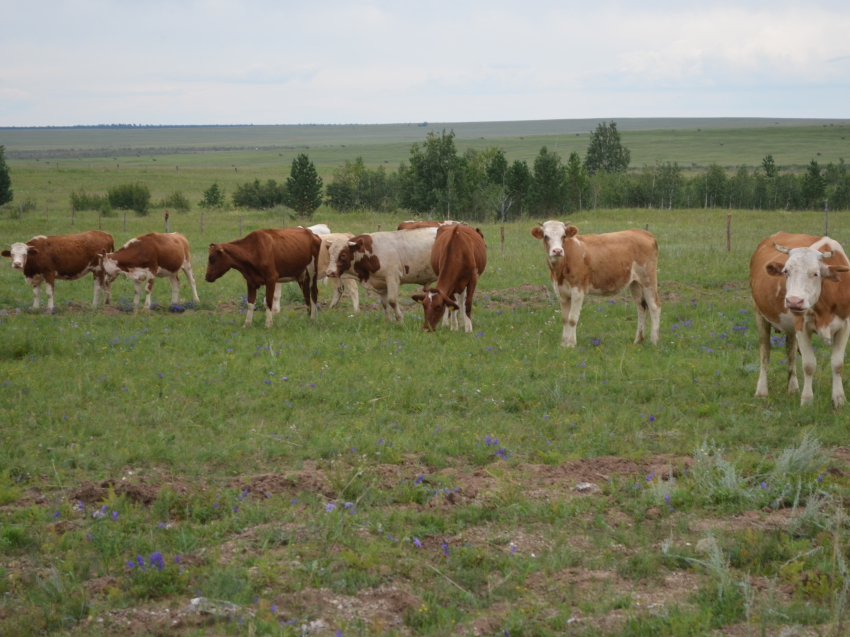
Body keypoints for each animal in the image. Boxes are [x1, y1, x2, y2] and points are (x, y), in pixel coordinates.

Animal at [528, 220, 664, 348]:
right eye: (546, 236)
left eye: (564, 235)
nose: (557, 251)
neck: (559, 270)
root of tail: (642, 232)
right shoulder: (561, 292)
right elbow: (565, 319)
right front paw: (563, 344)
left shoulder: (578, 289)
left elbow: (572, 319)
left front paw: (571, 344)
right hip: (635, 283)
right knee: (641, 307)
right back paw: (638, 340)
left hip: (648, 278)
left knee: (654, 306)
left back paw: (654, 341)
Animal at [748, 234, 848, 408]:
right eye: (786, 272)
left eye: (815, 273)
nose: (794, 301)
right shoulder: (802, 327)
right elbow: (809, 365)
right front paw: (807, 400)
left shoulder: (845, 326)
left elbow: (837, 364)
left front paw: (839, 399)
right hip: (759, 313)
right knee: (765, 351)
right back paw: (761, 390)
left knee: (791, 352)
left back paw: (793, 387)